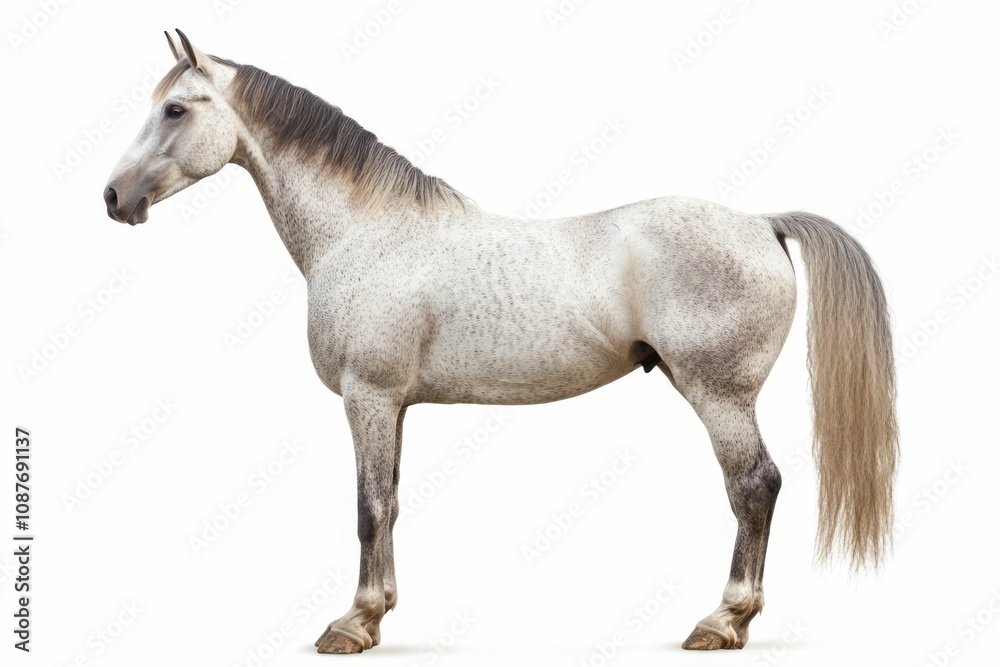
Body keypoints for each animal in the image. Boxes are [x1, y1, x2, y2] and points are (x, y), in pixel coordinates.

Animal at [104, 30, 898, 654]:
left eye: (175, 108)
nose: (114, 198)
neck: (366, 232)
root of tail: (763, 222)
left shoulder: (368, 396)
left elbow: (367, 508)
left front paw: (353, 625)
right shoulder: (393, 406)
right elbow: (390, 502)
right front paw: (379, 612)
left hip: (719, 394)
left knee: (754, 486)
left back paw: (723, 621)